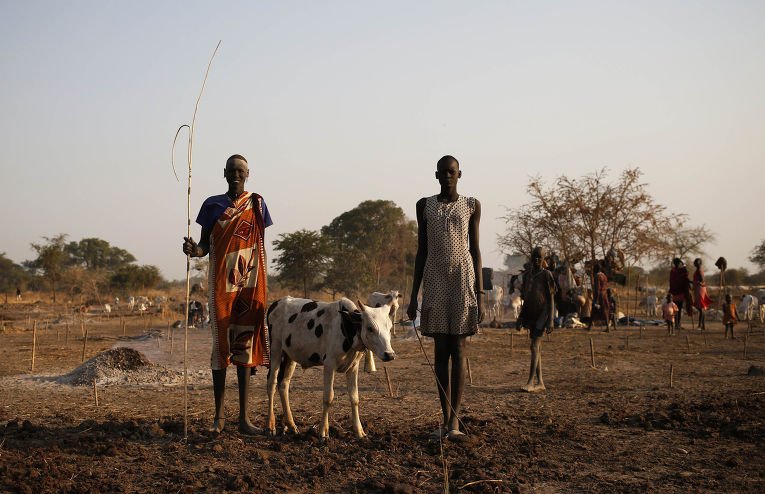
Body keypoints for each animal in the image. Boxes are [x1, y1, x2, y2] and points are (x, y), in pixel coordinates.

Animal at [268, 296, 396, 438]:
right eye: (370, 328)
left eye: (390, 327)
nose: (389, 354)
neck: (345, 326)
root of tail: (277, 303)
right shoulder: (329, 365)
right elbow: (328, 397)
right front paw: (323, 431)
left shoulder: (353, 367)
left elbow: (354, 398)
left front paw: (359, 431)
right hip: (275, 351)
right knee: (272, 383)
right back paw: (271, 425)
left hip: (290, 357)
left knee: (283, 385)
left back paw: (291, 426)